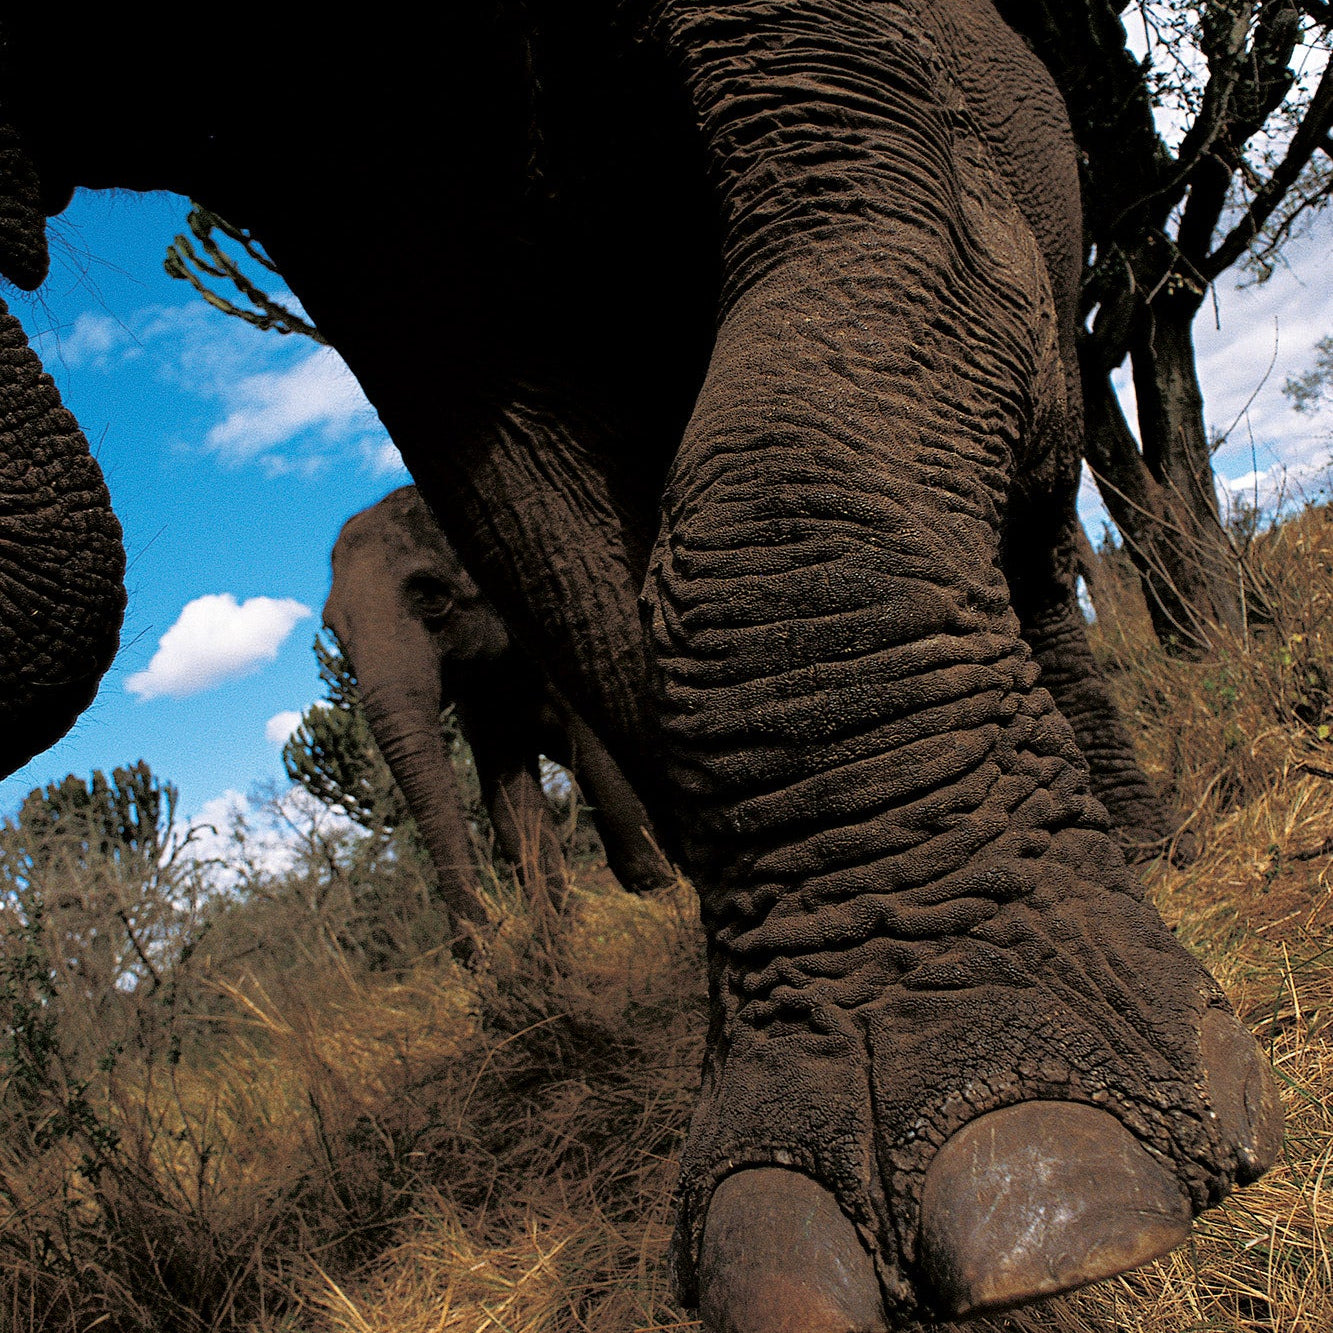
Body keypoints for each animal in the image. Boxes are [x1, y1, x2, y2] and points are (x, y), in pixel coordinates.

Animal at [325, 484, 673, 924]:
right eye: (332, 630)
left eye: (432, 597)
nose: (484, 930)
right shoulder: (480, 699)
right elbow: (511, 803)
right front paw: (557, 930)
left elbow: (602, 763)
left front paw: (665, 906)